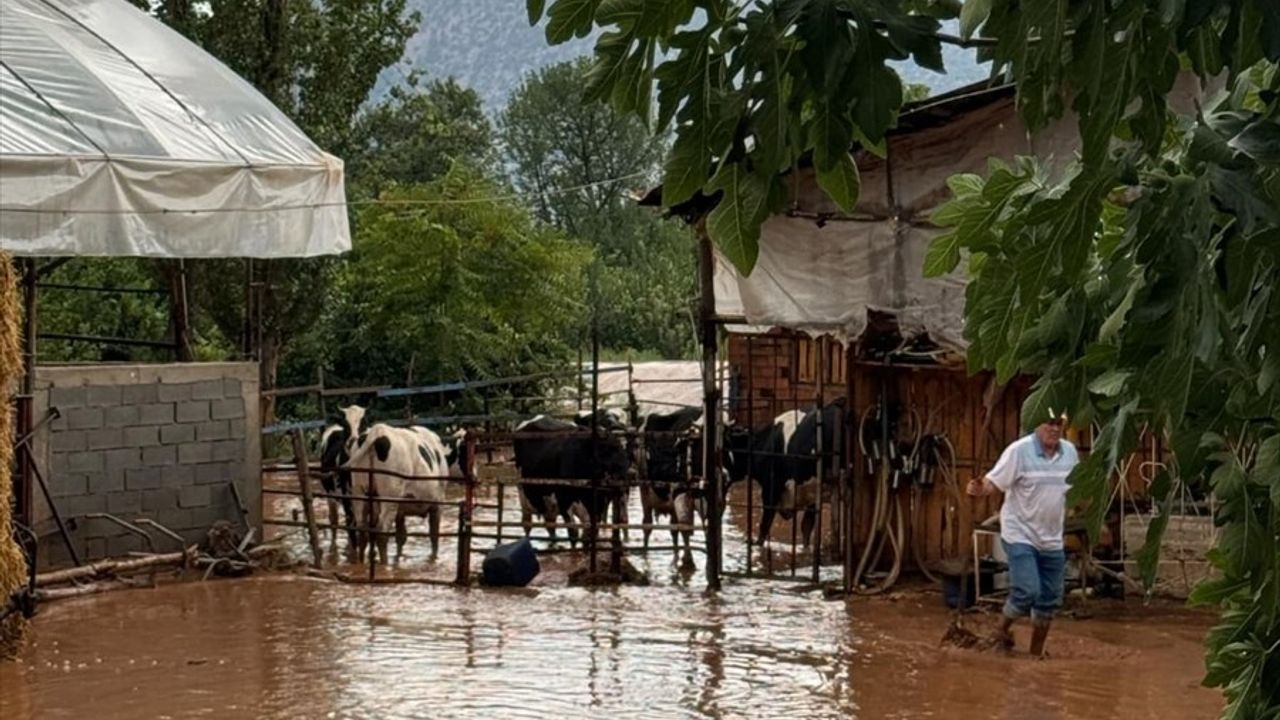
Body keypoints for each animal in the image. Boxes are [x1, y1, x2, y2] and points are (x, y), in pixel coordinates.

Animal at [320, 404, 371, 543]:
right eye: (346, 424)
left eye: (363, 422)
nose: (353, 441)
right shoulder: (346, 495)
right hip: (330, 491)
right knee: (334, 519)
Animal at [506, 412, 632, 545]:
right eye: (610, 449)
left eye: (625, 450)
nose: (626, 475)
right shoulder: (564, 501)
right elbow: (573, 533)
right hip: (524, 494)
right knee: (527, 523)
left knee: (550, 524)